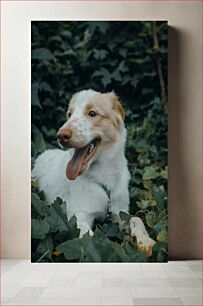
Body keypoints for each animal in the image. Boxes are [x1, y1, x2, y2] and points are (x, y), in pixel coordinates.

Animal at [32, 88, 155, 256]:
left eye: (92, 113)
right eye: (69, 114)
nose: (61, 136)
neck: (103, 178)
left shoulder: (120, 213)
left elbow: (136, 219)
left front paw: (145, 240)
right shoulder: (77, 218)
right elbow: (93, 239)